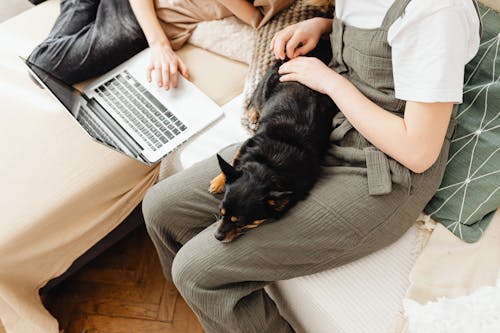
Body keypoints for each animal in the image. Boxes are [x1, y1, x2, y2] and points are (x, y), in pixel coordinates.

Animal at [207, 42, 340, 243]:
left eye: (240, 222)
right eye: (220, 212)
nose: (217, 236)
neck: (267, 164)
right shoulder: (247, 144)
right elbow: (234, 161)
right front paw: (219, 180)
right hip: (267, 85)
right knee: (255, 101)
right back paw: (252, 115)